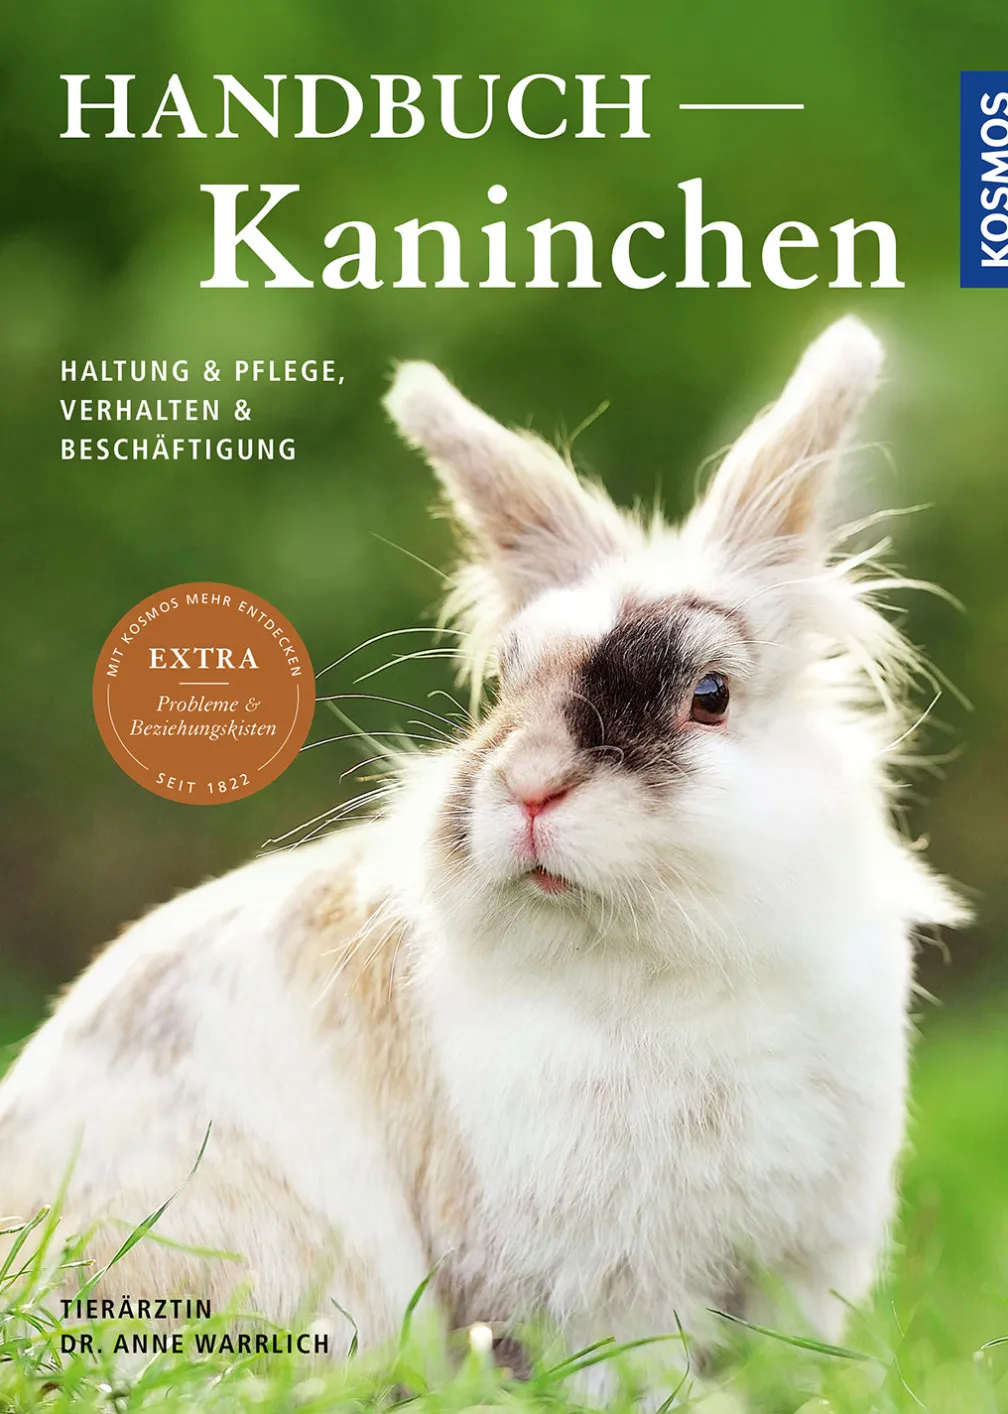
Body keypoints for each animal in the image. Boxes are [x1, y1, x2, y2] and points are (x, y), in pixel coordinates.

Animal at [0, 317, 966, 1379]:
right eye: (505, 687)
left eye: (709, 694)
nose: (531, 787)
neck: (661, 964)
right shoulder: (602, 1286)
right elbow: (632, 1372)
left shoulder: (798, 1261)